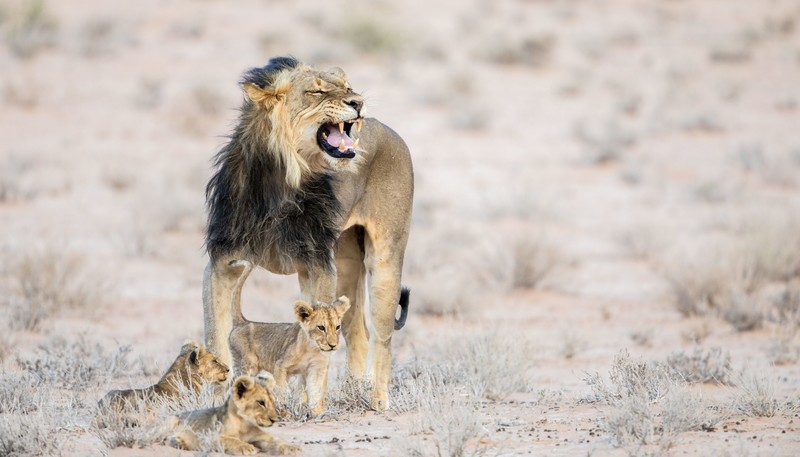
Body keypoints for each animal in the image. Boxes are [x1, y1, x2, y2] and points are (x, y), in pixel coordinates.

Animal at [165, 371, 300, 455]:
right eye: (261, 402)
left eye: (272, 401)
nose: (275, 420)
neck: (244, 425)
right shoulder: (209, 436)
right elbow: (230, 440)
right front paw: (246, 447)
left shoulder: (262, 437)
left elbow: (277, 441)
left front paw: (293, 448)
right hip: (171, 420)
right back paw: (177, 441)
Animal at [202, 56, 413, 410]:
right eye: (316, 91)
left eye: (347, 87)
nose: (358, 102)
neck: (281, 180)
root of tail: (388, 129)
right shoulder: (223, 263)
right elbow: (216, 338)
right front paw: (216, 402)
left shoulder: (317, 263)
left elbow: (321, 331)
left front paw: (312, 402)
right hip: (344, 262)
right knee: (357, 332)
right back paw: (353, 391)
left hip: (382, 260)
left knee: (382, 336)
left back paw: (378, 400)